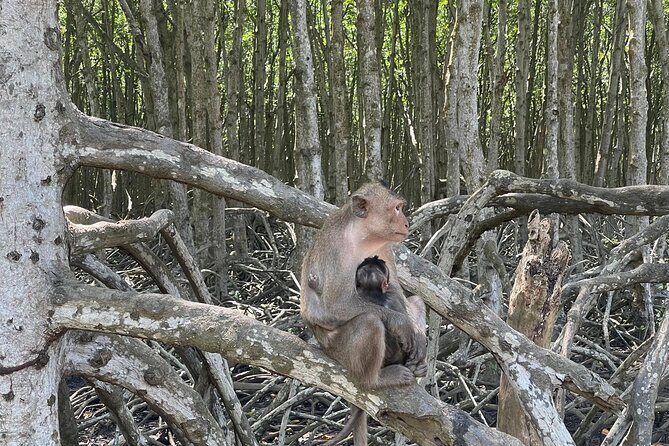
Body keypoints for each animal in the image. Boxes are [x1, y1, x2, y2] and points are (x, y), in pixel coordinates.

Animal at [298, 183, 426, 444]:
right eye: (396, 209)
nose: (406, 223)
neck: (362, 236)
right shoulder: (336, 249)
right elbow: (335, 305)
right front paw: (400, 323)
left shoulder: (385, 247)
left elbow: (398, 292)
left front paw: (418, 340)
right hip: (338, 350)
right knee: (370, 322)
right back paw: (375, 380)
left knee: (415, 301)